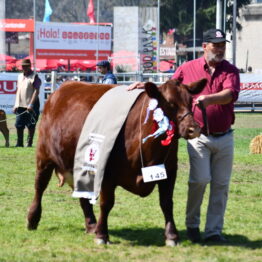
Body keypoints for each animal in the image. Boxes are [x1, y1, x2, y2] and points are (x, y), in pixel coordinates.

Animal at [27, 79, 207, 246]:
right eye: (170, 103)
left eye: (191, 101)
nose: (194, 129)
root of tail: (62, 89)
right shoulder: (106, 172)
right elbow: (106, 203)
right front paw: (102, 235)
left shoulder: (169, 171)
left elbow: (167, 203)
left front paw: (172, 236)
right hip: (44, 156)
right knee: (39, 186)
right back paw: (32, 219)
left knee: (82, 195)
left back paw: (91, 225)